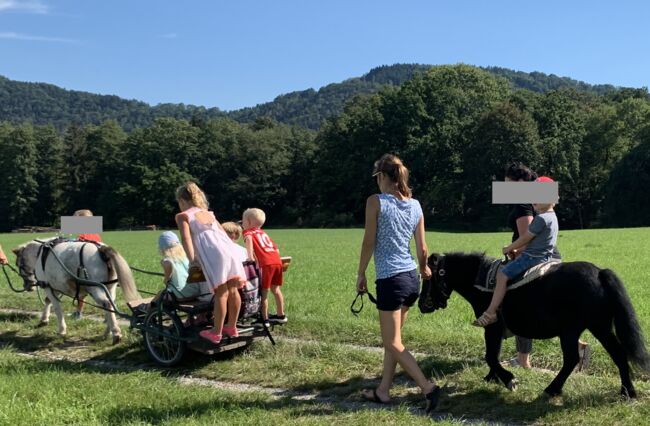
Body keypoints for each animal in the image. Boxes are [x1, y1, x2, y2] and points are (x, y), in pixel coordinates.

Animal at [12, 238, 140, 344]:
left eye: (19, 264)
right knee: (111, 307)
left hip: (96, 288)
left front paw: (61, 330)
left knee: (107, 304)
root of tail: (101, 249)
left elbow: (56, 308)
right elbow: (48, 301)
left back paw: (116, 333)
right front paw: (44, 320)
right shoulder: (55, 286)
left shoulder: (49, 287)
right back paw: (107, 332)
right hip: (110, 287)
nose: (27, 286)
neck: (41, 253)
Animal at [420, 251, 648, 398]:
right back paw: (627, 391)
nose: (422, 305)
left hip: (578, 330)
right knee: (613, 354)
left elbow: (490, 356)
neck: (481, 280)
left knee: (576, 359)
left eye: (428, 276)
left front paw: (508, 379)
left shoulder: (492, 327)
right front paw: (493, 377)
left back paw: (553, 389)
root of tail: (599, 273)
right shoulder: (496, 331)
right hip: (593, 328)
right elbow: (493, 355)